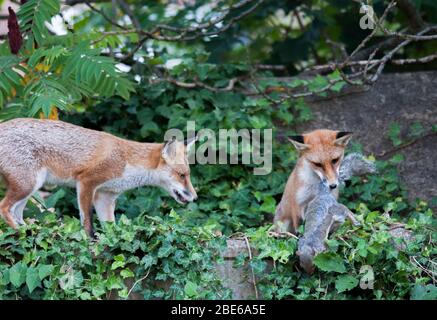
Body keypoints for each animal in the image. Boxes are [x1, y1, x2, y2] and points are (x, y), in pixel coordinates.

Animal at [0, 118, 198, 238]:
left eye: (188, 175)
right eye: (182, 175)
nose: (195, 197)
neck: (127, 161)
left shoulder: (105, 196)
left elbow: (110, 226)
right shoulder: (86, 182)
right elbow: (87, 220)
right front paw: (91, 240)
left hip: (30, 188)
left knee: (16, 212)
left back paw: (30, 231)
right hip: (28, 185)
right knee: (4, 207)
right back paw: (20, 233)